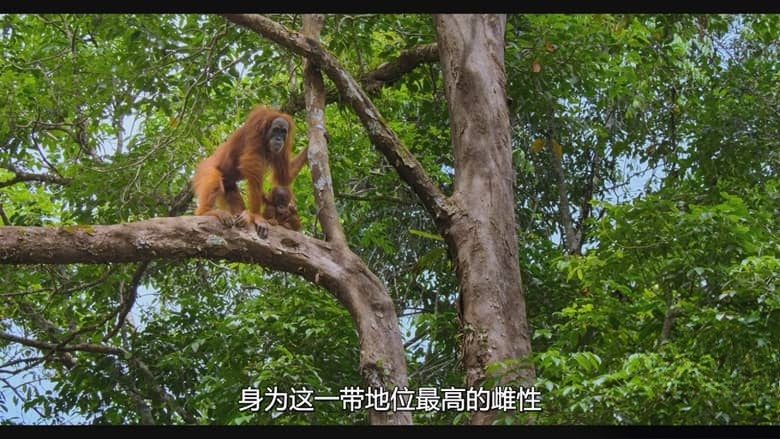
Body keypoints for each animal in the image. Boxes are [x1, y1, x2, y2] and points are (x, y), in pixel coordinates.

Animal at [192, 106, 308, 237]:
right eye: (276, 129)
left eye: (283, 132)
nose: (278, 139)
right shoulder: (255, 125)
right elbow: (251, 164)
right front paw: (257, 216)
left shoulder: (284, 145)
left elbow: (284, 176)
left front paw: (309, 148)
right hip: (206, 168)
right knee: (213, 180)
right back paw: (206, 212)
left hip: (228, 184)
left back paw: (242, 215)